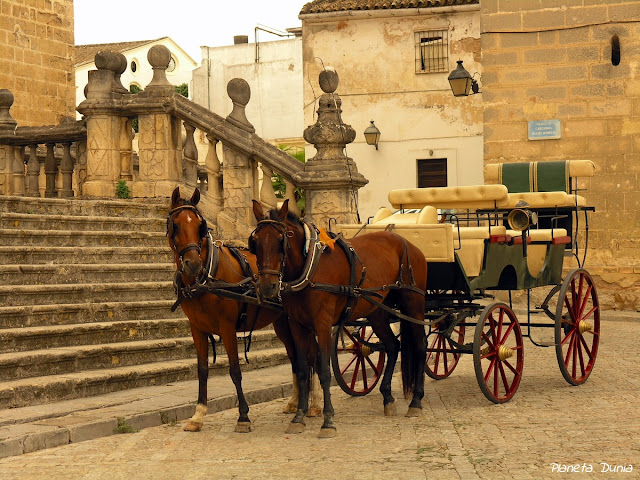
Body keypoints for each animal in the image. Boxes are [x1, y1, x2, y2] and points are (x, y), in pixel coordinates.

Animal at [165, 187, 318, 432]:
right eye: (176, 225)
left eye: (199, 226)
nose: (193, 264)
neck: (207, 276)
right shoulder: (196, 329)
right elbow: (202, 369)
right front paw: (198, 415)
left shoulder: (227, 327)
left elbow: (235, 370)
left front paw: (243, 416)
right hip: (283, 323)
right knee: (295, 357)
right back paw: (295, 403)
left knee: (313, 357)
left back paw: (314, 405)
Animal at [252, 200, 428, 438]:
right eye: (255, 242)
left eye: (282, 239)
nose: (267, 287)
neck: (309, 267)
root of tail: (407, 242)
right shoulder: (297, 326)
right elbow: (301, 369)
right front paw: (298, 417)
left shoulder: (323, 325)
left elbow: (325, 371)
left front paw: (327, 421)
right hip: (376, 311)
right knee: (392, 346)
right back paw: (388, 397)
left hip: (414, 306)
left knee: (420, 346)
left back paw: (416, 402)